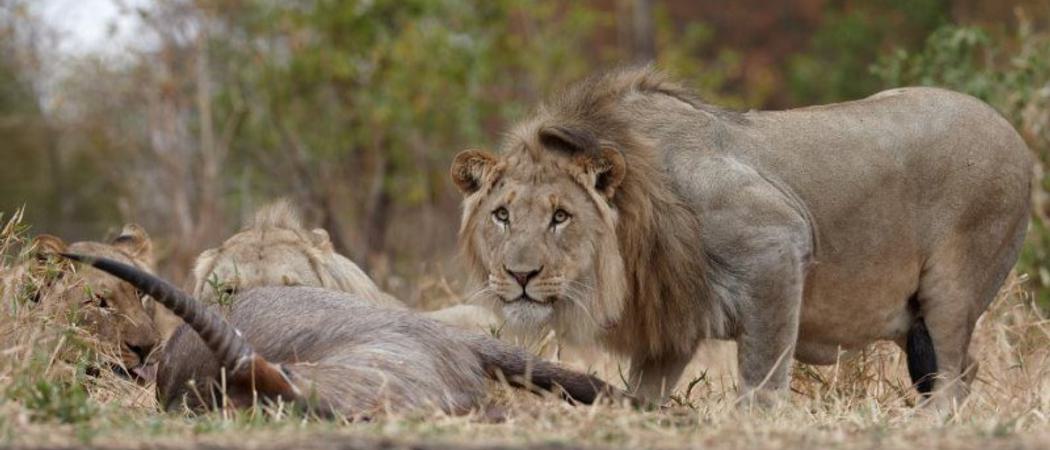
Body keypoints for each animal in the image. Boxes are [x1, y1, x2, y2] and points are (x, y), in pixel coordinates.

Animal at [450, 67, 1032, 408]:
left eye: (561, 216)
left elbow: (762, 376)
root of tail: (1015, 134)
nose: (520, 275)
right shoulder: (671, 315)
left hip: (952, 289)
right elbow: (645, 393)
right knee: (963, 370)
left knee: (953, 375)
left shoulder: (778, 242)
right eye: (501, 215)